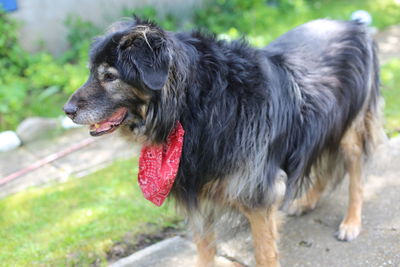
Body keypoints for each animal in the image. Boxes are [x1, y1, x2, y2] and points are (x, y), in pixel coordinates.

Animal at [65, 17, 384, 266]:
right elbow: (205, 250)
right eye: (91, 72)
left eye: (109, 76)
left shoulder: (258, 194)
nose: (67, 111)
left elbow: (264, 253)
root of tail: (355, 25)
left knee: (355, 176)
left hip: (350, 130)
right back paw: (306, 202)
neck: (197, 105)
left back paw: (351, 223)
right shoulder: (199, 193)